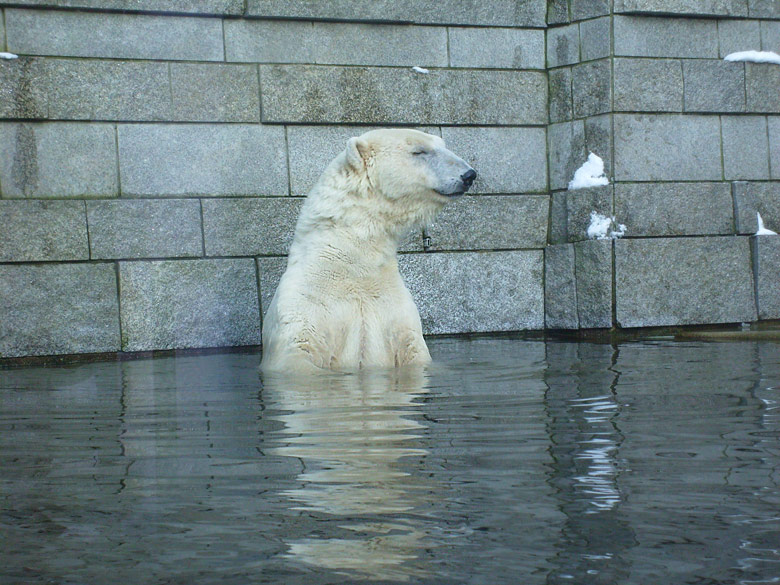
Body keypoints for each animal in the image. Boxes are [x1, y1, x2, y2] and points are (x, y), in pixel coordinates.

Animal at [262, 130, 476, 372]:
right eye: (419, 151)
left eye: (443, 145)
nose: (469, 175)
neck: (352, 262)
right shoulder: (307, 304)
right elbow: (298, 350)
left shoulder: (396, 312)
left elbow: (413, 349)